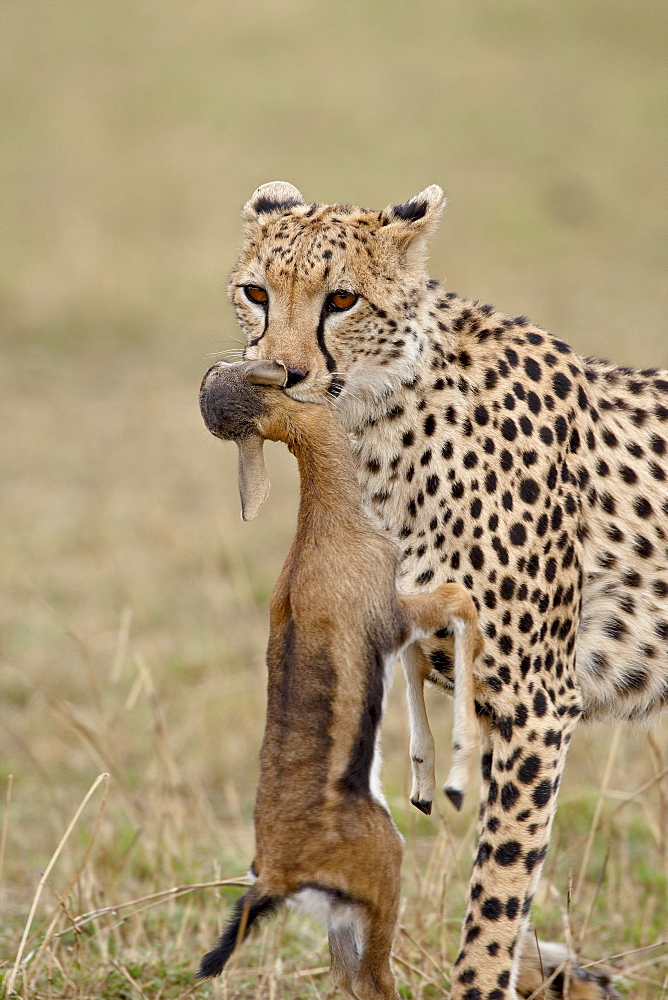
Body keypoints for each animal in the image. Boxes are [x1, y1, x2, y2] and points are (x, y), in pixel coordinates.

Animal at [222, 182, 664, 1000]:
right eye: (257, 293)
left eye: (341, 299)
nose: (279, 375)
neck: (385, 416)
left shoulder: (537, 701)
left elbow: (499, 885)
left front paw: (489, 979)